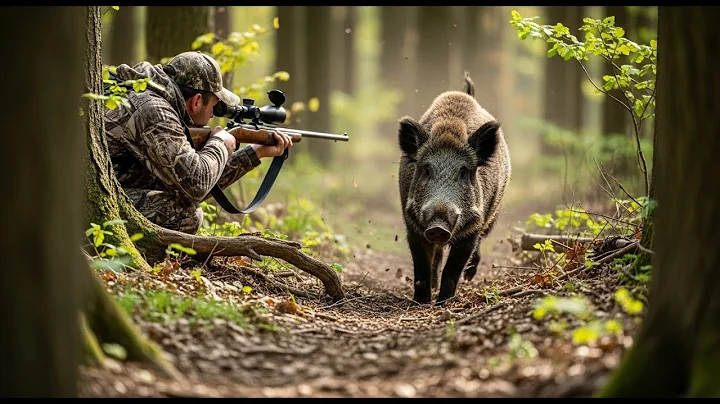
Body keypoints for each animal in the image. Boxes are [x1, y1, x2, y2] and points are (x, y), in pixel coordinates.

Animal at [397, 72, 511, 305]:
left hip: (492, 214)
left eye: (464, 172)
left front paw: (444, 302)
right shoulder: (412, 225)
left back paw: (469, 276)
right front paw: (422, 301)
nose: (438, 226)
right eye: (426, 169)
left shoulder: (472, 228)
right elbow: (421, 266)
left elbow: (453, 269)